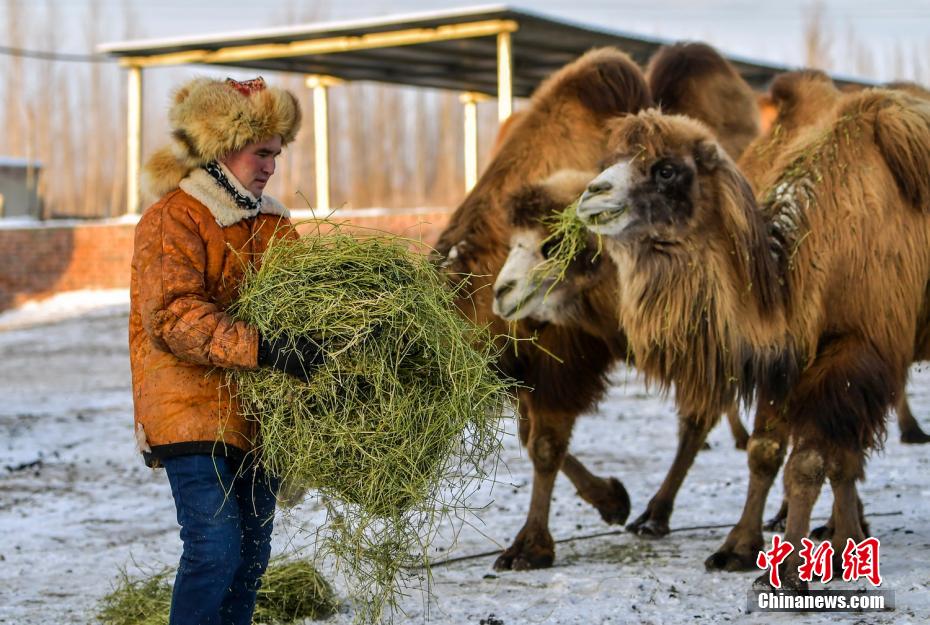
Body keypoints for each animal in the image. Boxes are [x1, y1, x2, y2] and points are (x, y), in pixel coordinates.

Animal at [432, 46, 648, 568]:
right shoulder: (522, 364)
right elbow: (534, 437)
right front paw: (613, 500)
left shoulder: (563, 354)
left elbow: (545, 445)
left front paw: (529, 547)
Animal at [576, 89, 930, 588]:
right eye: (611, 160)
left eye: (666, 169)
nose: (593, 193)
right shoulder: (790, 359)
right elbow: (770, 453)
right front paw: (740, 549)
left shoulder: (859, 350)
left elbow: (811, 461)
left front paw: (796, 566)